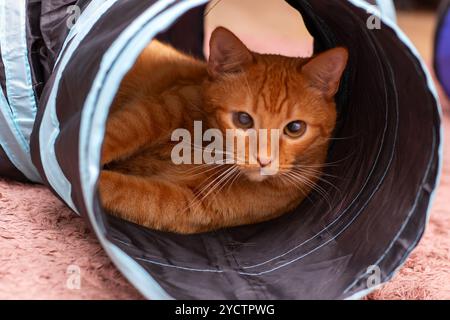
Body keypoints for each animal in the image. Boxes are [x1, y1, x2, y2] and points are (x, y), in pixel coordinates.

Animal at [99, 26, 348, 232]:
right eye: (243, 119)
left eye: (295, 128)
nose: (263, 160)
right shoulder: (165, 106)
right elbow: (122, 131)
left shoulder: (185, 204)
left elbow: (126, 191)